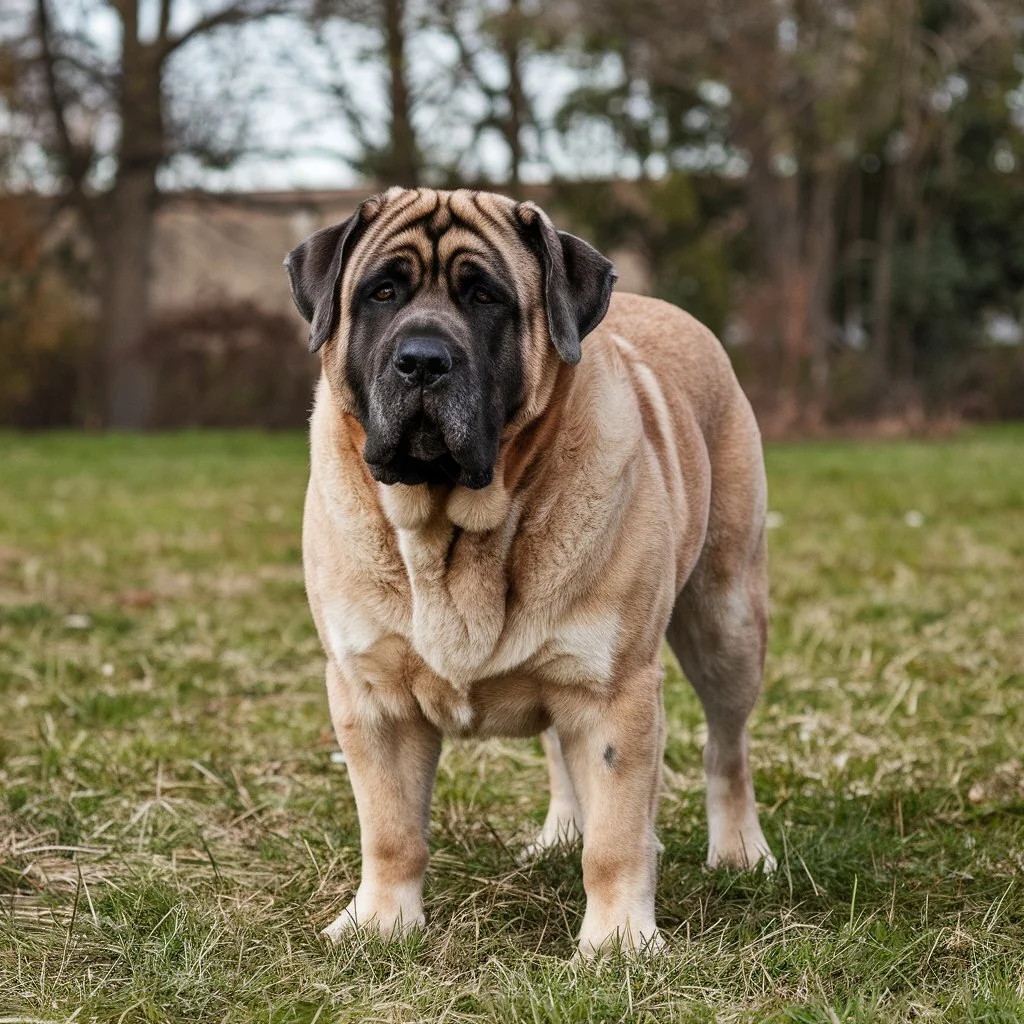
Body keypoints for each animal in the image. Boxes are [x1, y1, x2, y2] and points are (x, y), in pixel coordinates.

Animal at [284, 186, 770, 958]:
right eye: (381, 293)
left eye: (485, 297)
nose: (423, 360)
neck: (454, 532)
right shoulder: (371, 694)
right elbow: (390, 829)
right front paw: (381, 923)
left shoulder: (613, 692)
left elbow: (618, 837)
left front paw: (618, 943)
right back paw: (562, 832)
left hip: (727, 618)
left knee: (728, 747)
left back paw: (740, 851)